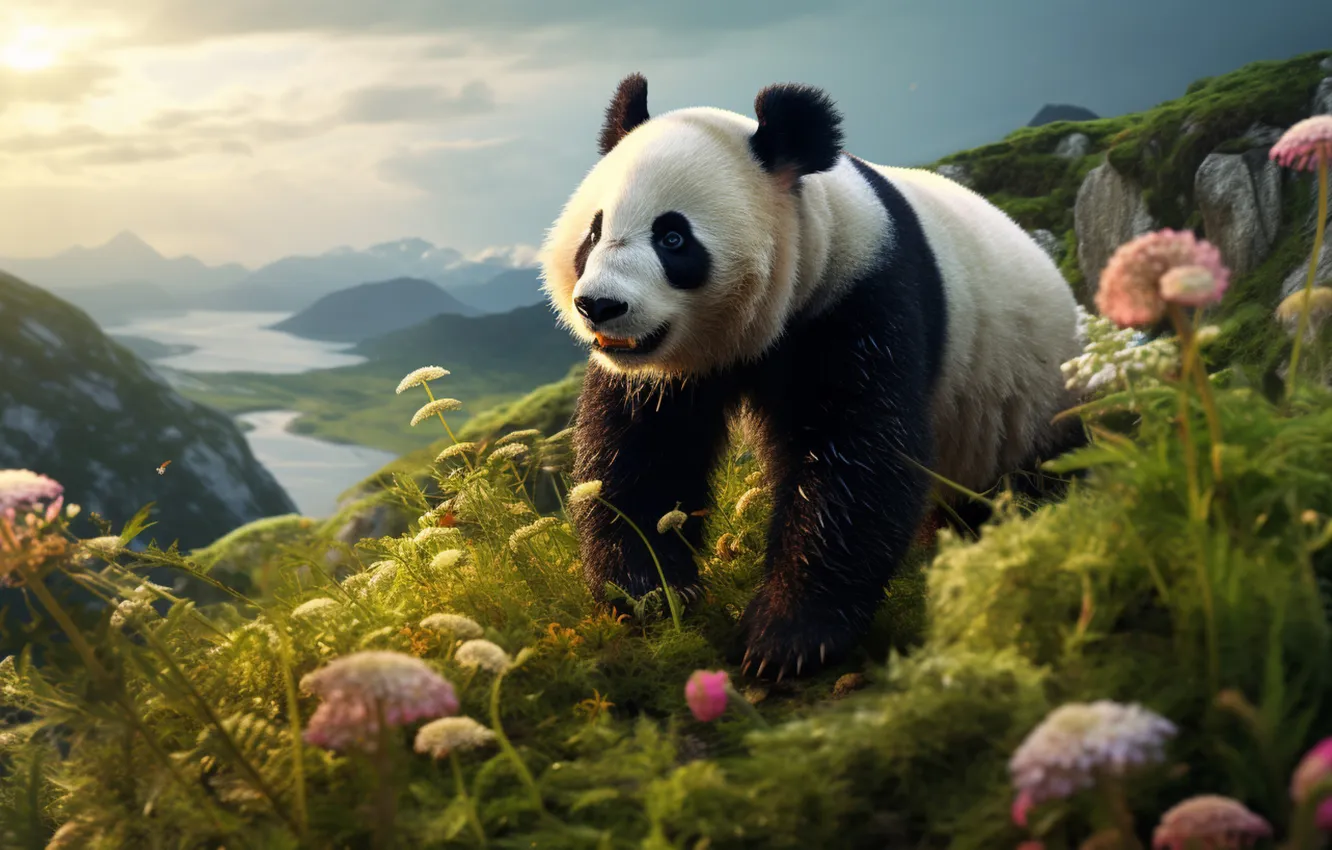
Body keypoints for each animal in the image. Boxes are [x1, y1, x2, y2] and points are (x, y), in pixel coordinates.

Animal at [538, 73, 1087, 680]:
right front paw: (647, 594)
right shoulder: (662, 373)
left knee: (1032, 478)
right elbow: (642, 455)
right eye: (593, 232)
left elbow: (858, 457)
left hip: (1030, 399)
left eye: (673, 238)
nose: (600, 306)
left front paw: (783, 639)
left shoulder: (859, 299)